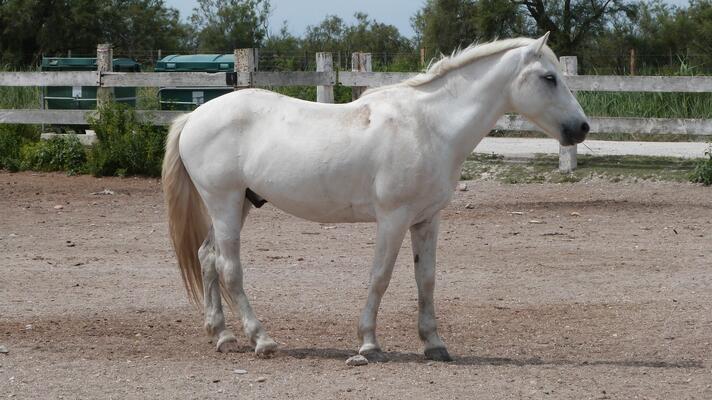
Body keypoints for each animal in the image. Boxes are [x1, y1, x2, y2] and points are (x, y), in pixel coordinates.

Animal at [161, 33, 589, 362]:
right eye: (549, 77)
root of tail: (194, 116)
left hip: (239, 205)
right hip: (225, 203)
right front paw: (368, 343)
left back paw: (222, 335)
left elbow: (426, 279)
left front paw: (434, 344)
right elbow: (380, 277)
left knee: (207, 258)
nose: (581, 128)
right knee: (229, 268)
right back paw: (261, 339)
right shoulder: (393, 218)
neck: (428, 126)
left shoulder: (426, 219)